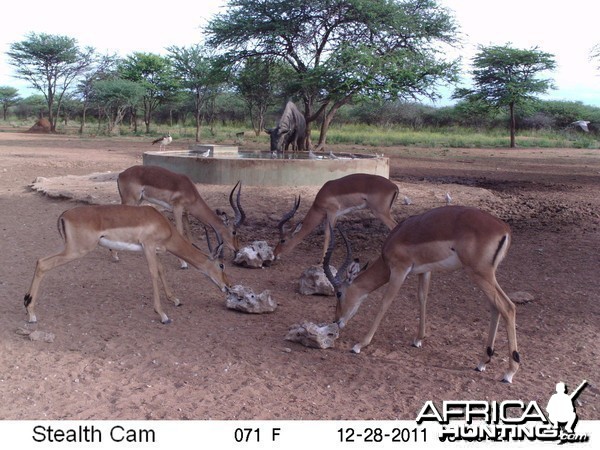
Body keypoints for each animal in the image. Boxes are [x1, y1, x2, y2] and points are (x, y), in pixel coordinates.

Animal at [24, 206, 230, 326]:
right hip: (77, 250)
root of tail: (65, 214)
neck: (165, 226)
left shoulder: (154, 250)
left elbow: (161, 270)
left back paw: (27, 303)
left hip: (68, 248)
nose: (227, 286)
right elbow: (153, 273)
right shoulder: (148, 247)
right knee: (43, 264)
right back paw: (31, 313)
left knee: (39, 260)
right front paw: (163, 314)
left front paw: (175, 299)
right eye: (221, 265)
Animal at [324, 206, 520, 382]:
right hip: (486, 275)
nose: (336, 321)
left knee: (508, 306)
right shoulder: (424, 271)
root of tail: (504, 228)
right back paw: (482, 362)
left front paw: (359, 345)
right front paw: (418, 339)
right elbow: (422, 298)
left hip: (479, 273)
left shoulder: (399, 270)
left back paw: (509, 372)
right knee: (495, 307)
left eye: (339, 293)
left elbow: (385, 303)